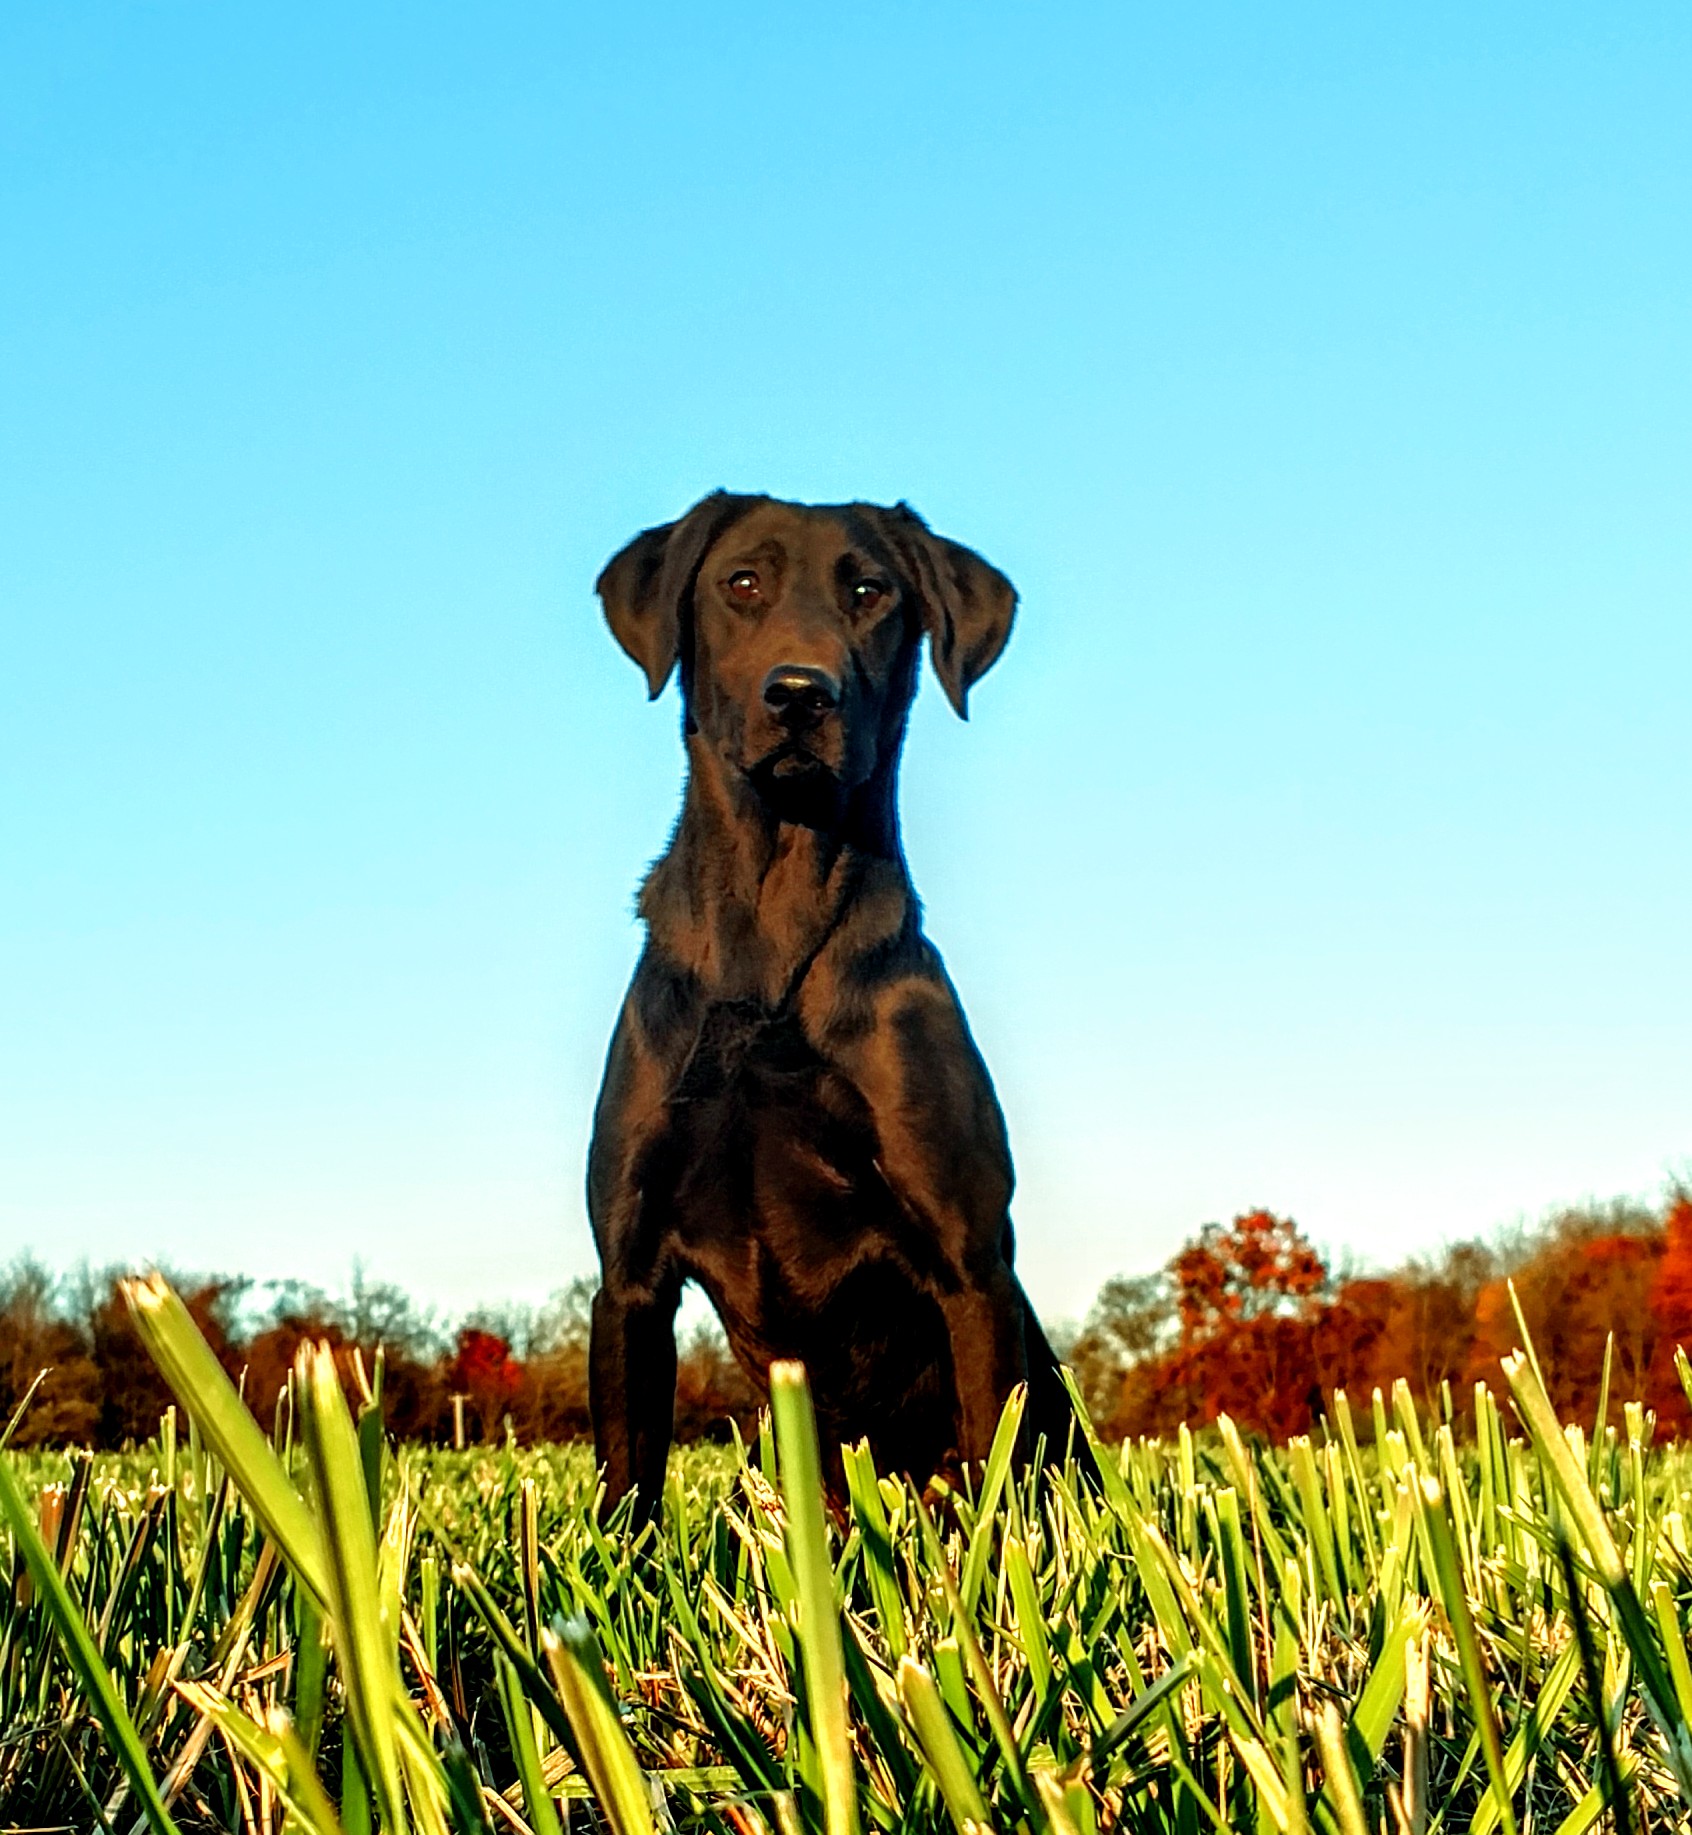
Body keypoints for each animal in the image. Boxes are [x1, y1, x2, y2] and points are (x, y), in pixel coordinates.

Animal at [587, 495, 1071, 1512]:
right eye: (741, 583)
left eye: (870, 591)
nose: (801, 693)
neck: (773, 940)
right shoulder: (628, 1274)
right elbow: (626, 1490)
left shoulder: (970, 1259)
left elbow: (993, 1475)